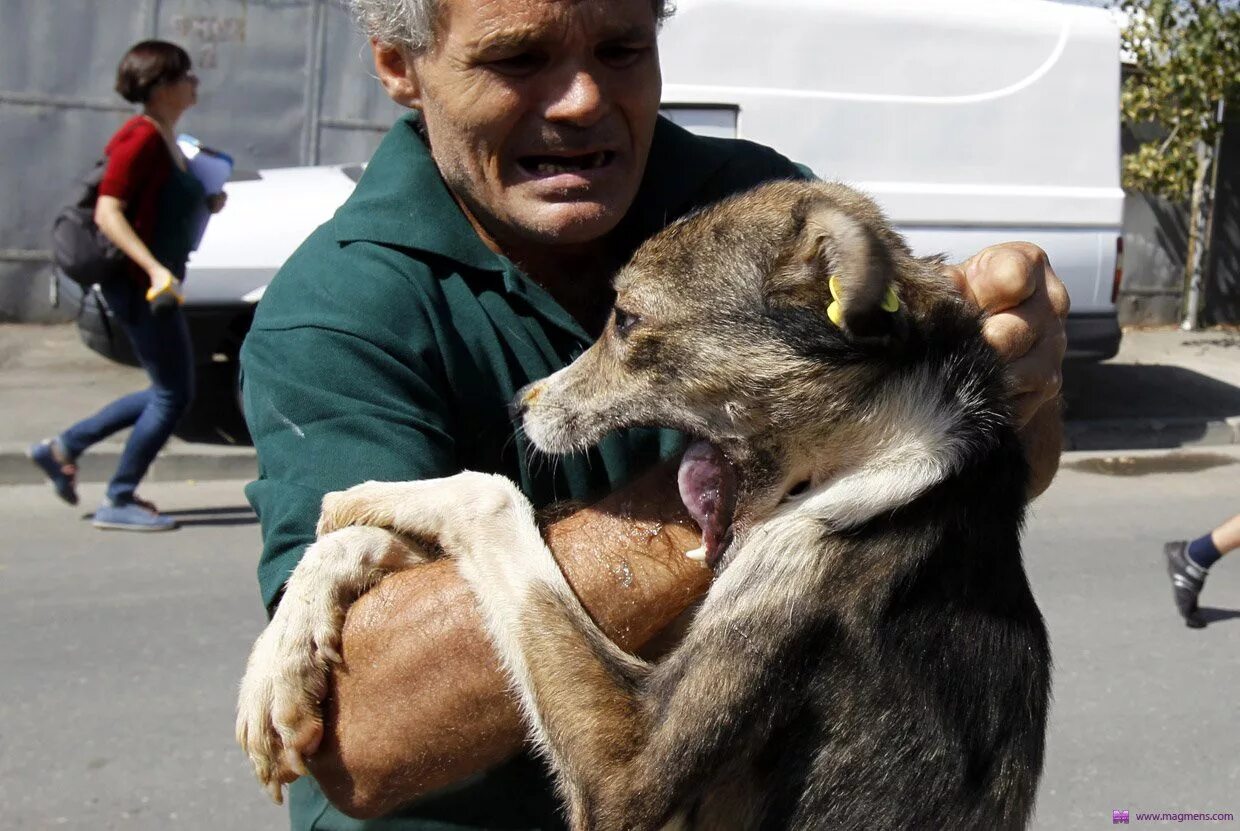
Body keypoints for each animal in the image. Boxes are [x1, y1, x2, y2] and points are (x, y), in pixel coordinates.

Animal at [236, 182, 1051, 831]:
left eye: (626, 318)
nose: (520, 404)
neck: (892, 443)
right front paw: (287, 645)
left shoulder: (630, 767)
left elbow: (493, 495)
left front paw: (376, 497)